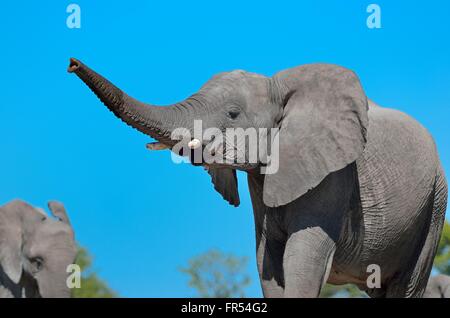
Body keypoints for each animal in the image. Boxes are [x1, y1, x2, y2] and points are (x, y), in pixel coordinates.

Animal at [68, 57, 448, 298]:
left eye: (233, 114)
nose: (71, 63)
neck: (278, 90)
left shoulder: (335, 176)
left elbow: (303, 257)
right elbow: (269, 262)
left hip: (434, 206)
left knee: (405, 286)